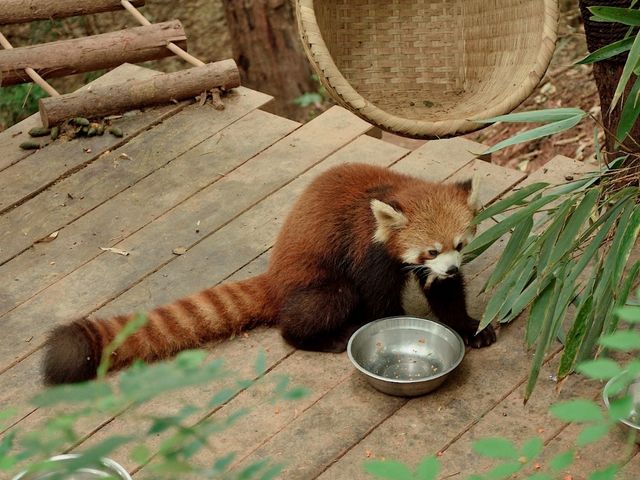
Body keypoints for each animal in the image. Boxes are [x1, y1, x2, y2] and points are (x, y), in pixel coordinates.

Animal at [42, 163, 498, 384]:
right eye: (431, 249)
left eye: (459, 246)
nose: (451, 267)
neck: (393, 193)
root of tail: (275, 278)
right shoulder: (366, 251)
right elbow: (377, 302)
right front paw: (386, 330)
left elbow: (445, 296)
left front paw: (471, 327)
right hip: (317, 284)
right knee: (322, 305)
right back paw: (321, 338)